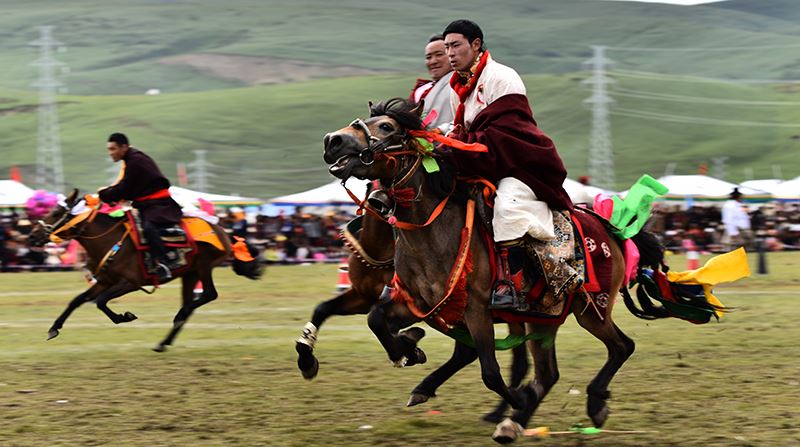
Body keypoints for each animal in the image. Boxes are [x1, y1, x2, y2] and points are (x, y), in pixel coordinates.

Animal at [28, 190, 262, 354]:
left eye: (56, 213)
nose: (32, 236)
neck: (108, 241)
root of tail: (222, 230)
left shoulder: (130, 283)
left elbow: (101, 302)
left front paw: (125, 316)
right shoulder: (104, 281)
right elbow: (77, 300)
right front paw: (54, 328)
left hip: (204, 266)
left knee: (208, 294)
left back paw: (178, 316)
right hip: (190, 273)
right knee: (192, 304)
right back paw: (164, 341)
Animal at [322, 99, 660, 444]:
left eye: (387, 127)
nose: (332, 141)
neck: (432, 232)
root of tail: (613, 230)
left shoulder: (475, 310)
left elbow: (490, 371)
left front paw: (517, 398)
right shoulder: (420, 303)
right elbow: (376, 319)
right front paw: (408, 351)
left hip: (591, 309)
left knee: (621, 346)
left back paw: (584, 405)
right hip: (544, 316)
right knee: (549, 373)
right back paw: (516, 419)